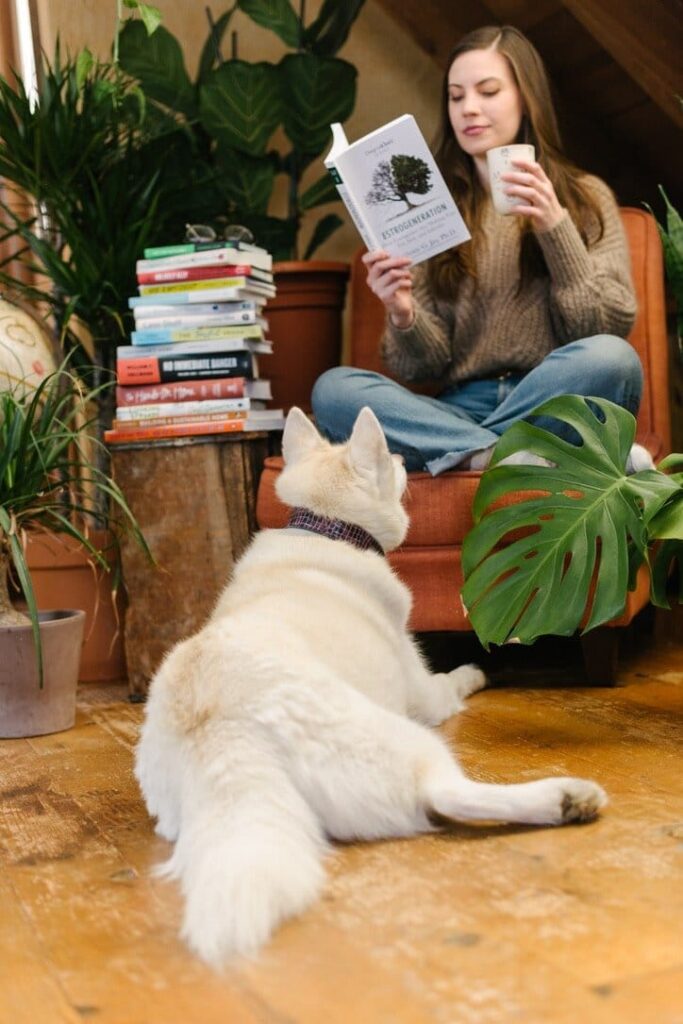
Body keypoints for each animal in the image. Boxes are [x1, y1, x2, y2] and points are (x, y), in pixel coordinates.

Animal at [135, 403, 610, 962]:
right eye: (391, 460)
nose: (406, 458)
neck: (328, 529)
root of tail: (221, 732)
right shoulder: (424, 693)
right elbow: (451, 682)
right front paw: (474, 671)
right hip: (405, 741)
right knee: (447, 793)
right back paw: (566, 798)